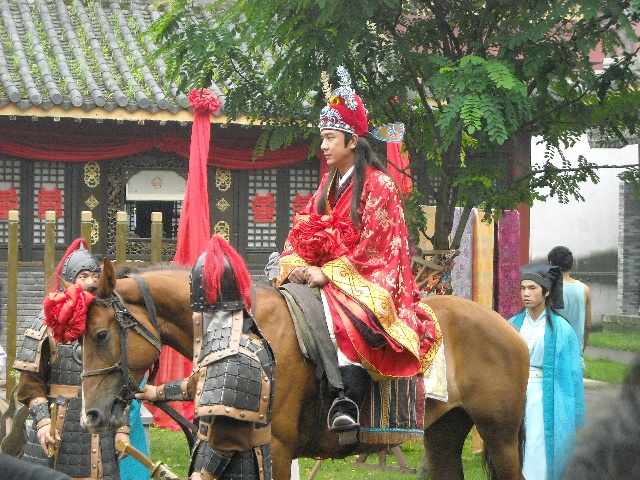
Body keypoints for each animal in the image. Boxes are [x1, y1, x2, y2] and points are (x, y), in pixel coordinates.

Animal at [81, 258, 528, 480]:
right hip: (444, 432)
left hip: (500, 435)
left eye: (100, 335)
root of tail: (510, 327)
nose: (92, 415)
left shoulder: (276, 449)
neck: (248, 322)